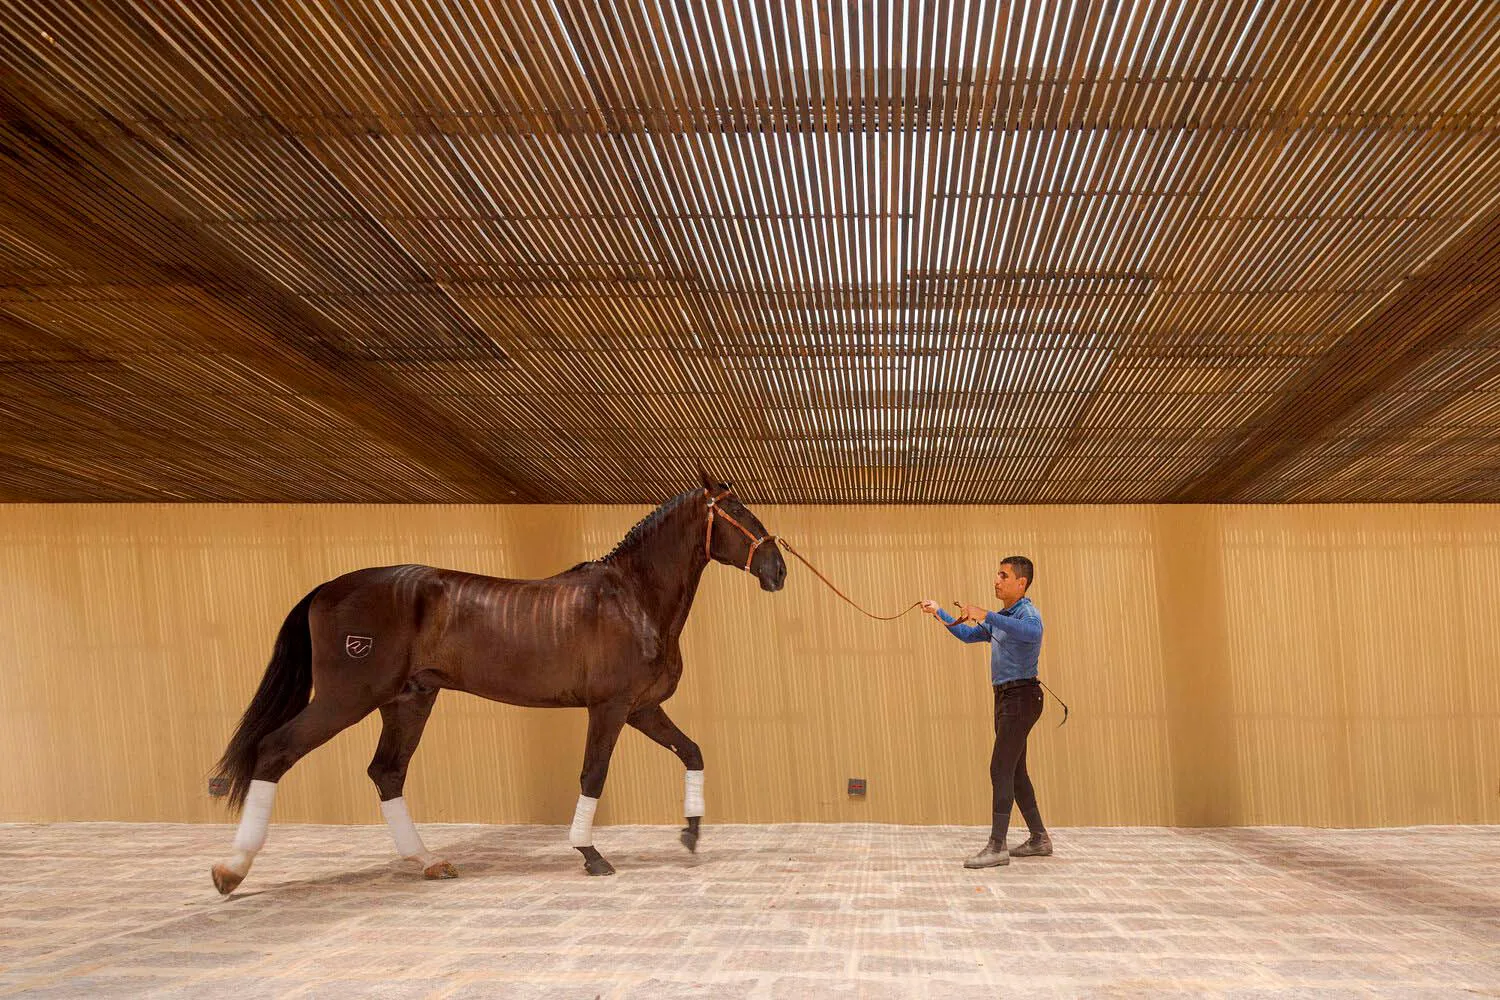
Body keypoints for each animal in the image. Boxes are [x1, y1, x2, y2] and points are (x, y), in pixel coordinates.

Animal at [209, 472, 786, 894]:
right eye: (738, 514)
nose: (778, 569)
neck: (631, 599)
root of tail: (326, 587)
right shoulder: (610, 707)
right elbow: (593, 774)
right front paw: (591, 854)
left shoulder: (642, 708)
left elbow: (692, 751)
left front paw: (690, 833)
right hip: (347, 697)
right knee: (276, 750)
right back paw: (231, 870)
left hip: (408, 701)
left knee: (387, 772)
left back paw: (428, 862)